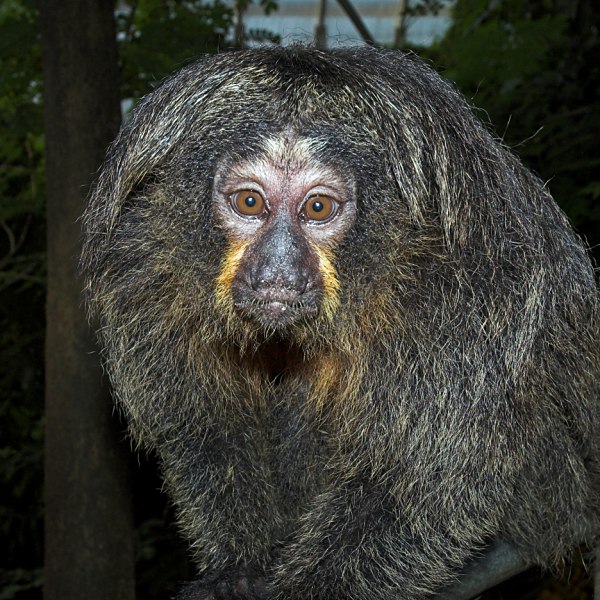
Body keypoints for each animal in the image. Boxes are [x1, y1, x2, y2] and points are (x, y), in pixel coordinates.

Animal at [79, 44, 600, 596]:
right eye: (249, 201)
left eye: (317, 207)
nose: (278, 272)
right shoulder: (145, 277)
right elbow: (206, 434)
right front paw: (237, 572)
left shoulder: (468, 303)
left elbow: (420, 483)